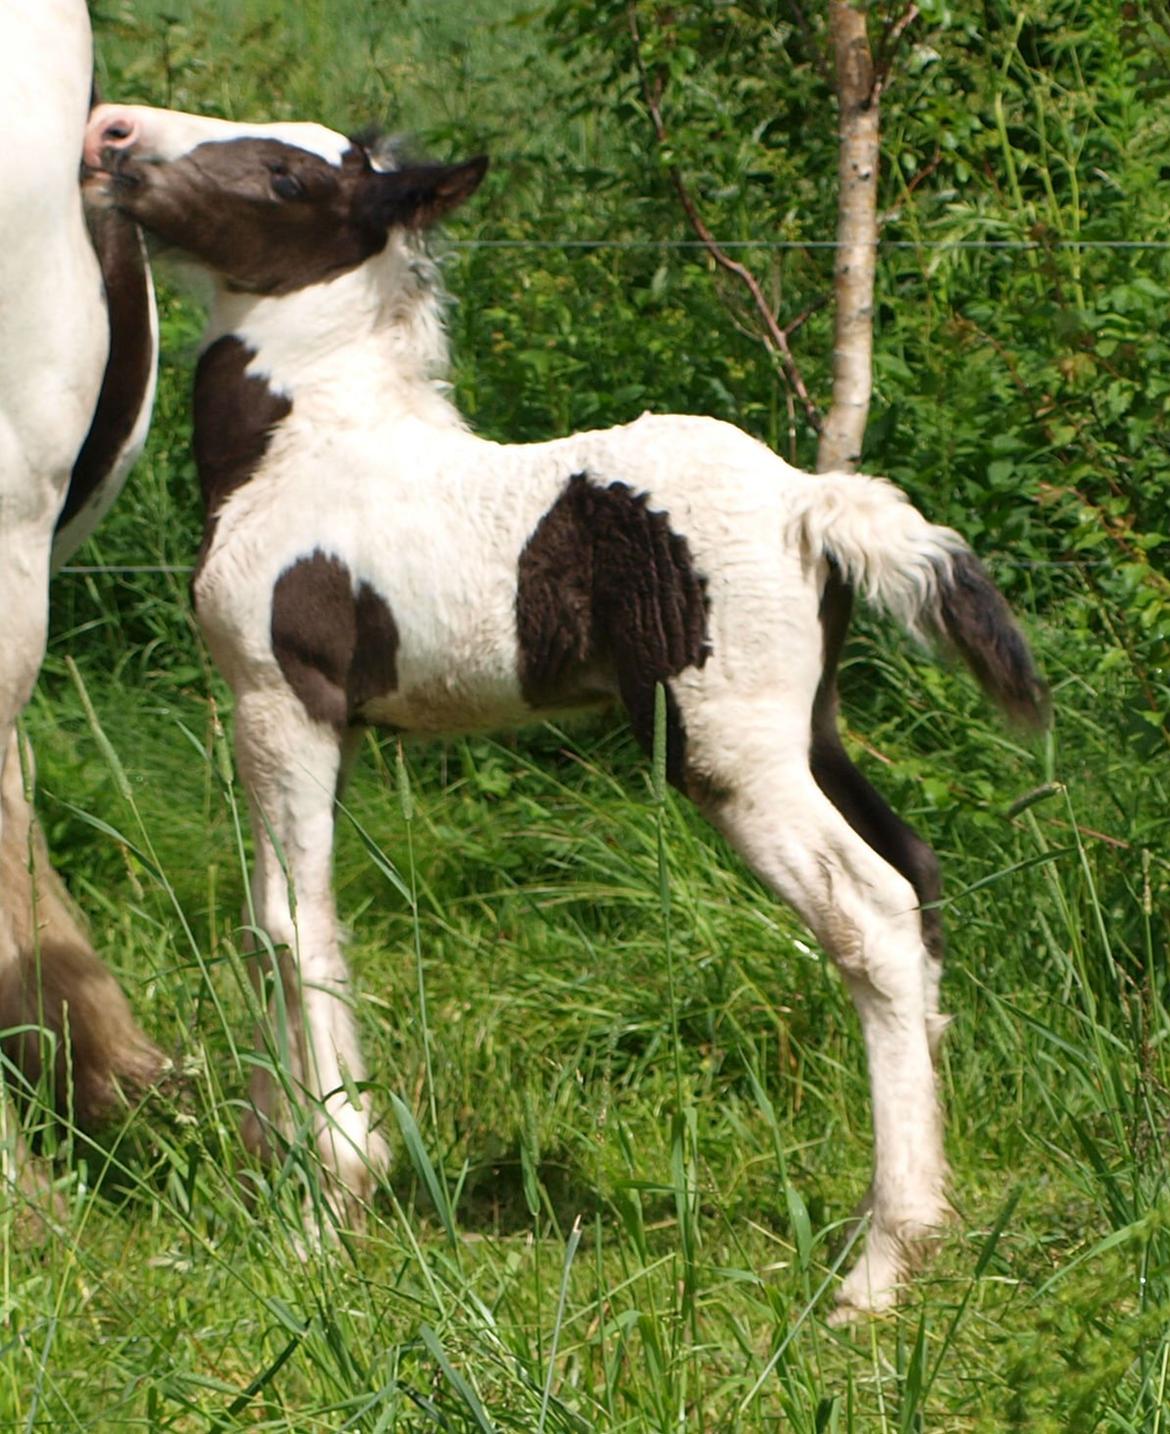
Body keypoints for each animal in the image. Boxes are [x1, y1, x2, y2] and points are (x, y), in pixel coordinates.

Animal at [86, 103, 1043, 1319]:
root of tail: (811, 502)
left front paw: (327, 1205)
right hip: (807, 731)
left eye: (284, 176)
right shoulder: (329, 726)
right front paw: (279, 1161)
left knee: (868, 913)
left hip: (725, 752)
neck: (303, 452)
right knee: (917, 878)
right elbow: (276, 921)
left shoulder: (280, 697)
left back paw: (882, 1263)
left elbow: (294, 921)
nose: (111, 134)